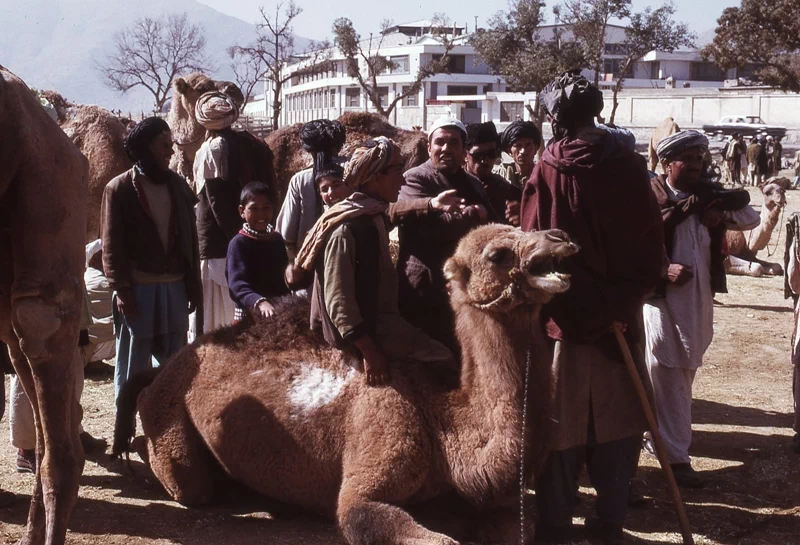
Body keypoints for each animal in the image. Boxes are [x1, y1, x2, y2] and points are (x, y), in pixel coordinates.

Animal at [112, 223, 580, 540]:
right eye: (498, 254)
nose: (559, 236)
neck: (445, 425)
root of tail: (171, 365)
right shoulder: (374, 460)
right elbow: (368, 514)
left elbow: (524, 524)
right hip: (170, 414)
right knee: (190, 482)